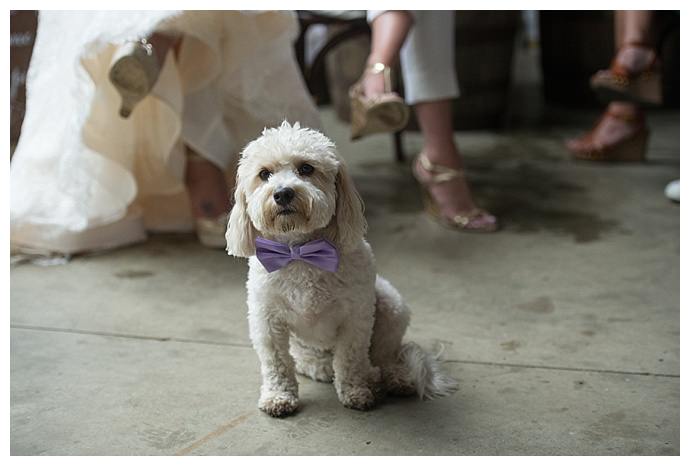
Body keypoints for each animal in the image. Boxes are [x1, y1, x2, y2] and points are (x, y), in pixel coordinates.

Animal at [226, 122, 456, 416]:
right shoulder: (267, 320)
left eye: (306, 168)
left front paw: (355, 391)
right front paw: (279, 395)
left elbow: (350, 358)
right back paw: (323, 366)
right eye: (264, 174)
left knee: (383, 354)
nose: (283, 193)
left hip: (390, 306)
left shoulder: (355, 318)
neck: (300, 253)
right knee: (307, 358)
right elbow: (277, 363)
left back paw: (391, 376)